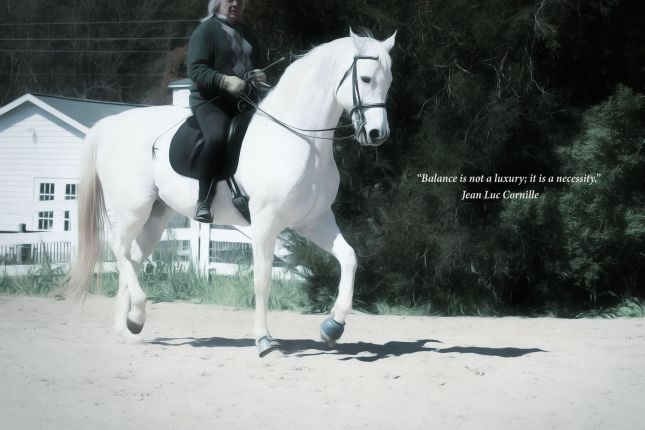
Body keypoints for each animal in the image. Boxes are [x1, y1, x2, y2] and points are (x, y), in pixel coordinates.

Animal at [68, 30, 396, 357]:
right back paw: (136, 312)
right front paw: (265, 340)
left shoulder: (314, 221)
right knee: (119, 250)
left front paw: (333, 326)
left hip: (155, 217)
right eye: (366, 78)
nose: (377, 135)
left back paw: (128, 328)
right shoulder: (265, 223)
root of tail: (110, 125)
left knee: (132, 258)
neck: (300, 140)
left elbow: (349, 258)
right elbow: (262, 279)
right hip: (132, 209)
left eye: (389, 80)